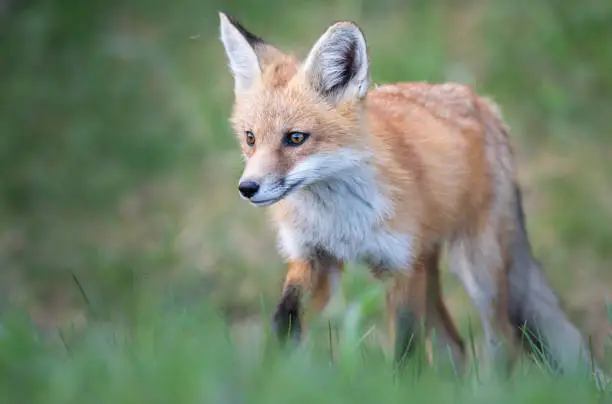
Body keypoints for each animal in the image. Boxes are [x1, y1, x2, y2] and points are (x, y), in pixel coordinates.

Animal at [218, 10, 604, 382]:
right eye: (250, 138)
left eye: (296, 138)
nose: (247, 188)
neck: (340, 222)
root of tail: (482, 102)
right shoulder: (314, 260)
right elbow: (284, 325)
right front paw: (266, 378)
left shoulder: (400, 267)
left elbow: (406, 352)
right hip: (429, 267)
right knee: (456, 345)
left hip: (476, 270)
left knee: (503, 342)